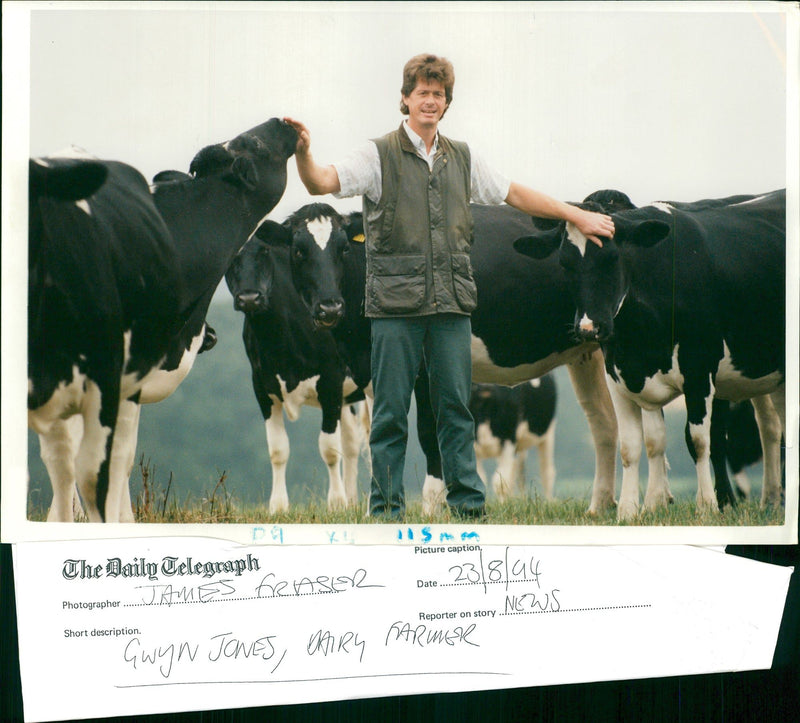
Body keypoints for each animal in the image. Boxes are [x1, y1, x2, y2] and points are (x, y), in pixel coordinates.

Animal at [225, 221, 368, 516]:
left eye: (265, 252)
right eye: (232, 255)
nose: (249, 298)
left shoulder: (331, 379)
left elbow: (329, 448)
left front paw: (335, 504)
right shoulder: (261, 385)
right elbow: (278, 449)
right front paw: (278, 507)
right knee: (352, 442)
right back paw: (353, 502)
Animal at [516, 189, 784, 516]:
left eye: (612, 257)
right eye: (565, 264)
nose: (589, 328)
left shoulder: (699, 370)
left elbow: (698, 440)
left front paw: (706, 506)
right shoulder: (619, 374)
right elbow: (638, 444)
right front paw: (633, 509)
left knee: (770, 428)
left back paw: (770, 501)